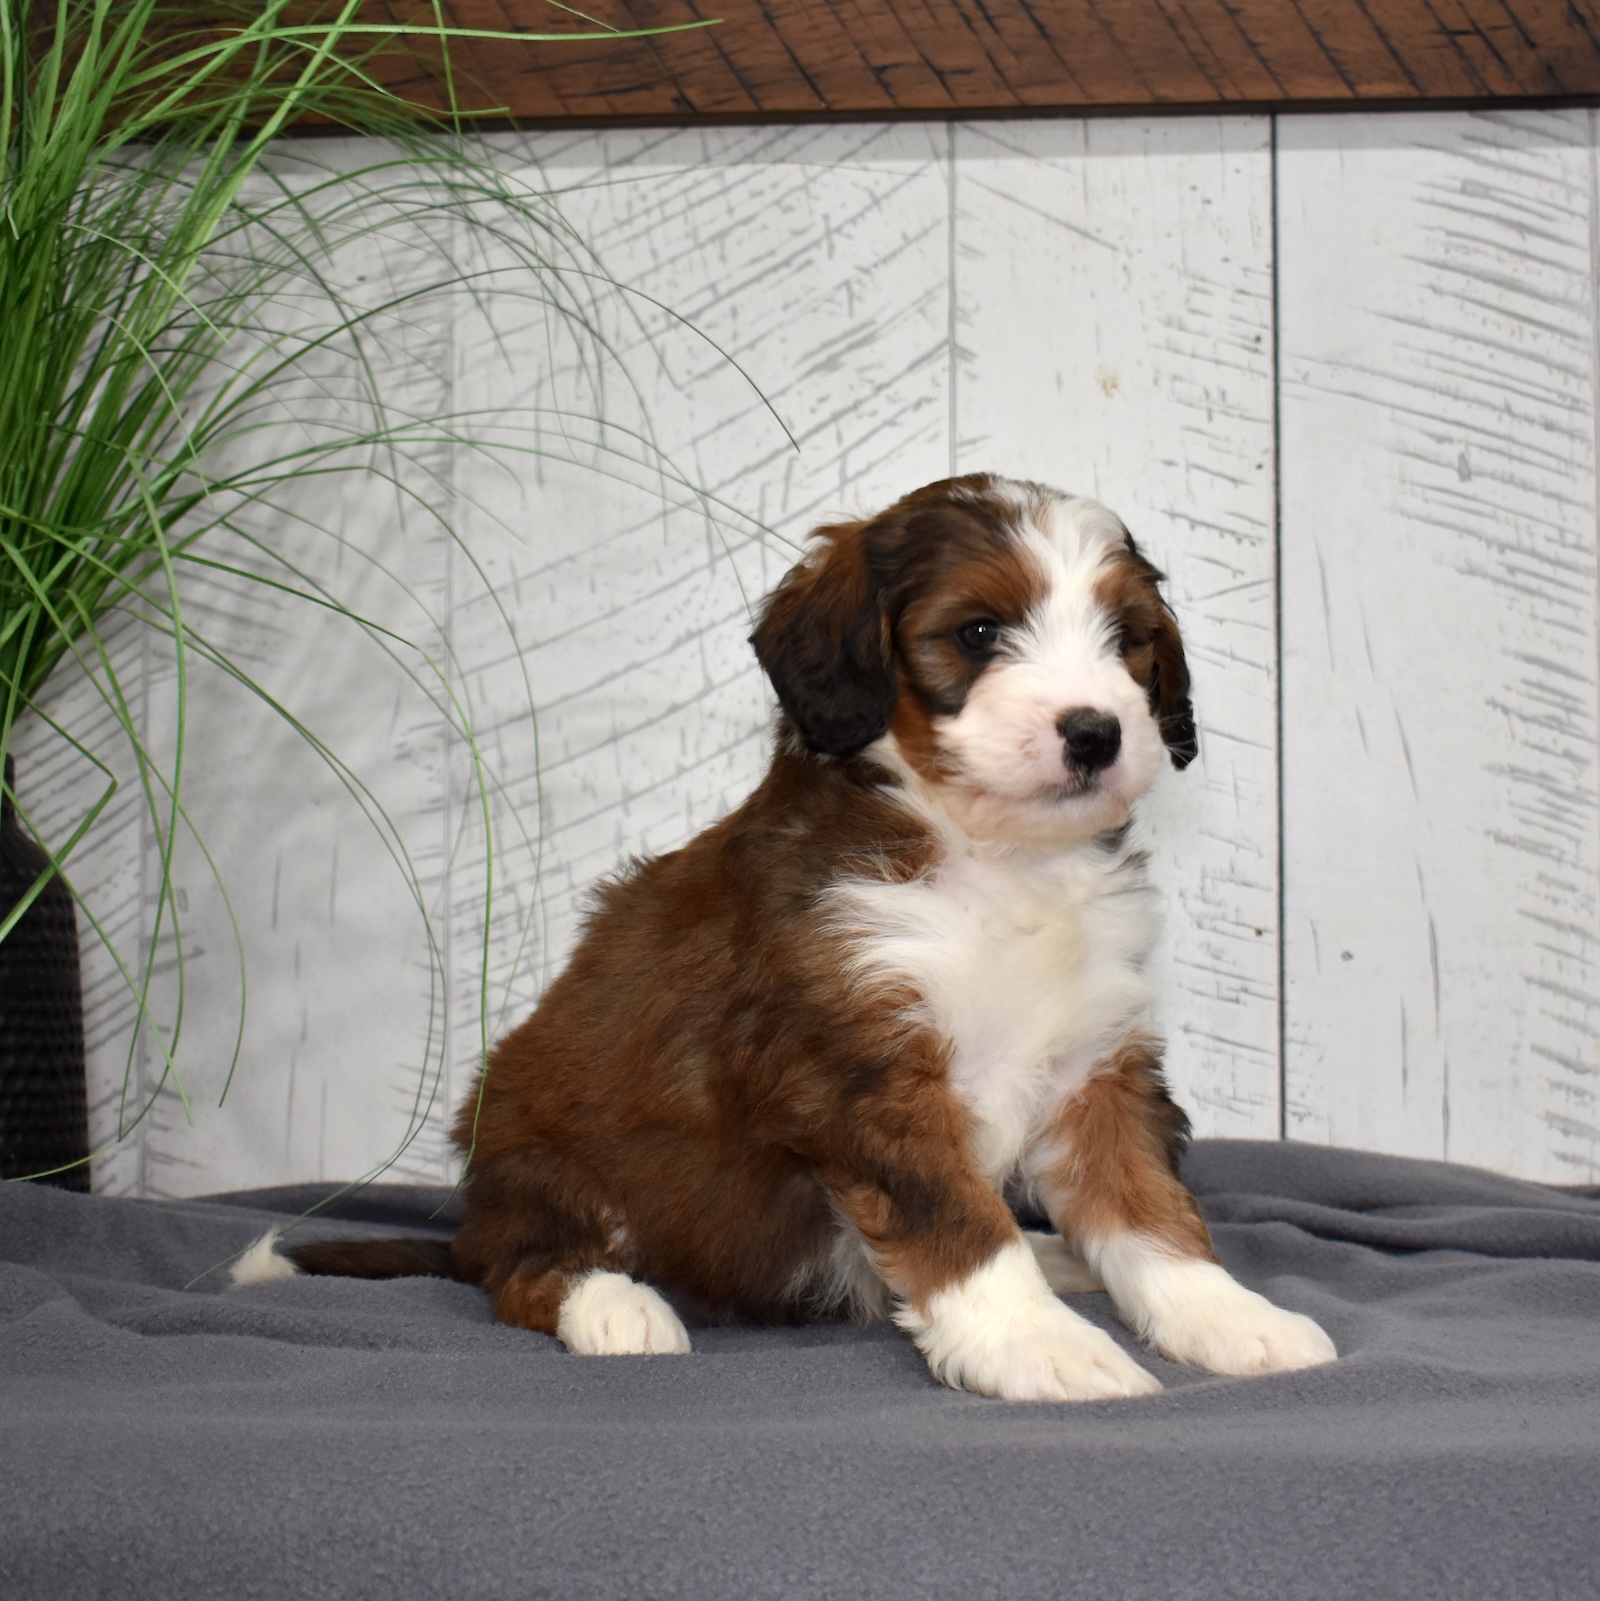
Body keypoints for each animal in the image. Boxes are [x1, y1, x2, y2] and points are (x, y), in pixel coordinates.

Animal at [237, 474, 1336, 1402]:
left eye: (1126, 638)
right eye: (979, 630)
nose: (1095, 732)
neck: (992, 859)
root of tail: (475, 1217)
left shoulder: (1095, 1063)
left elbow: (1150, 1212)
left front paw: (1232, 1320)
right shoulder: (862, 1075)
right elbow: (963, 1225)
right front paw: (1039, 1346)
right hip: (538, 1149)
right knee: (525, 1266)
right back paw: (616, 1306)